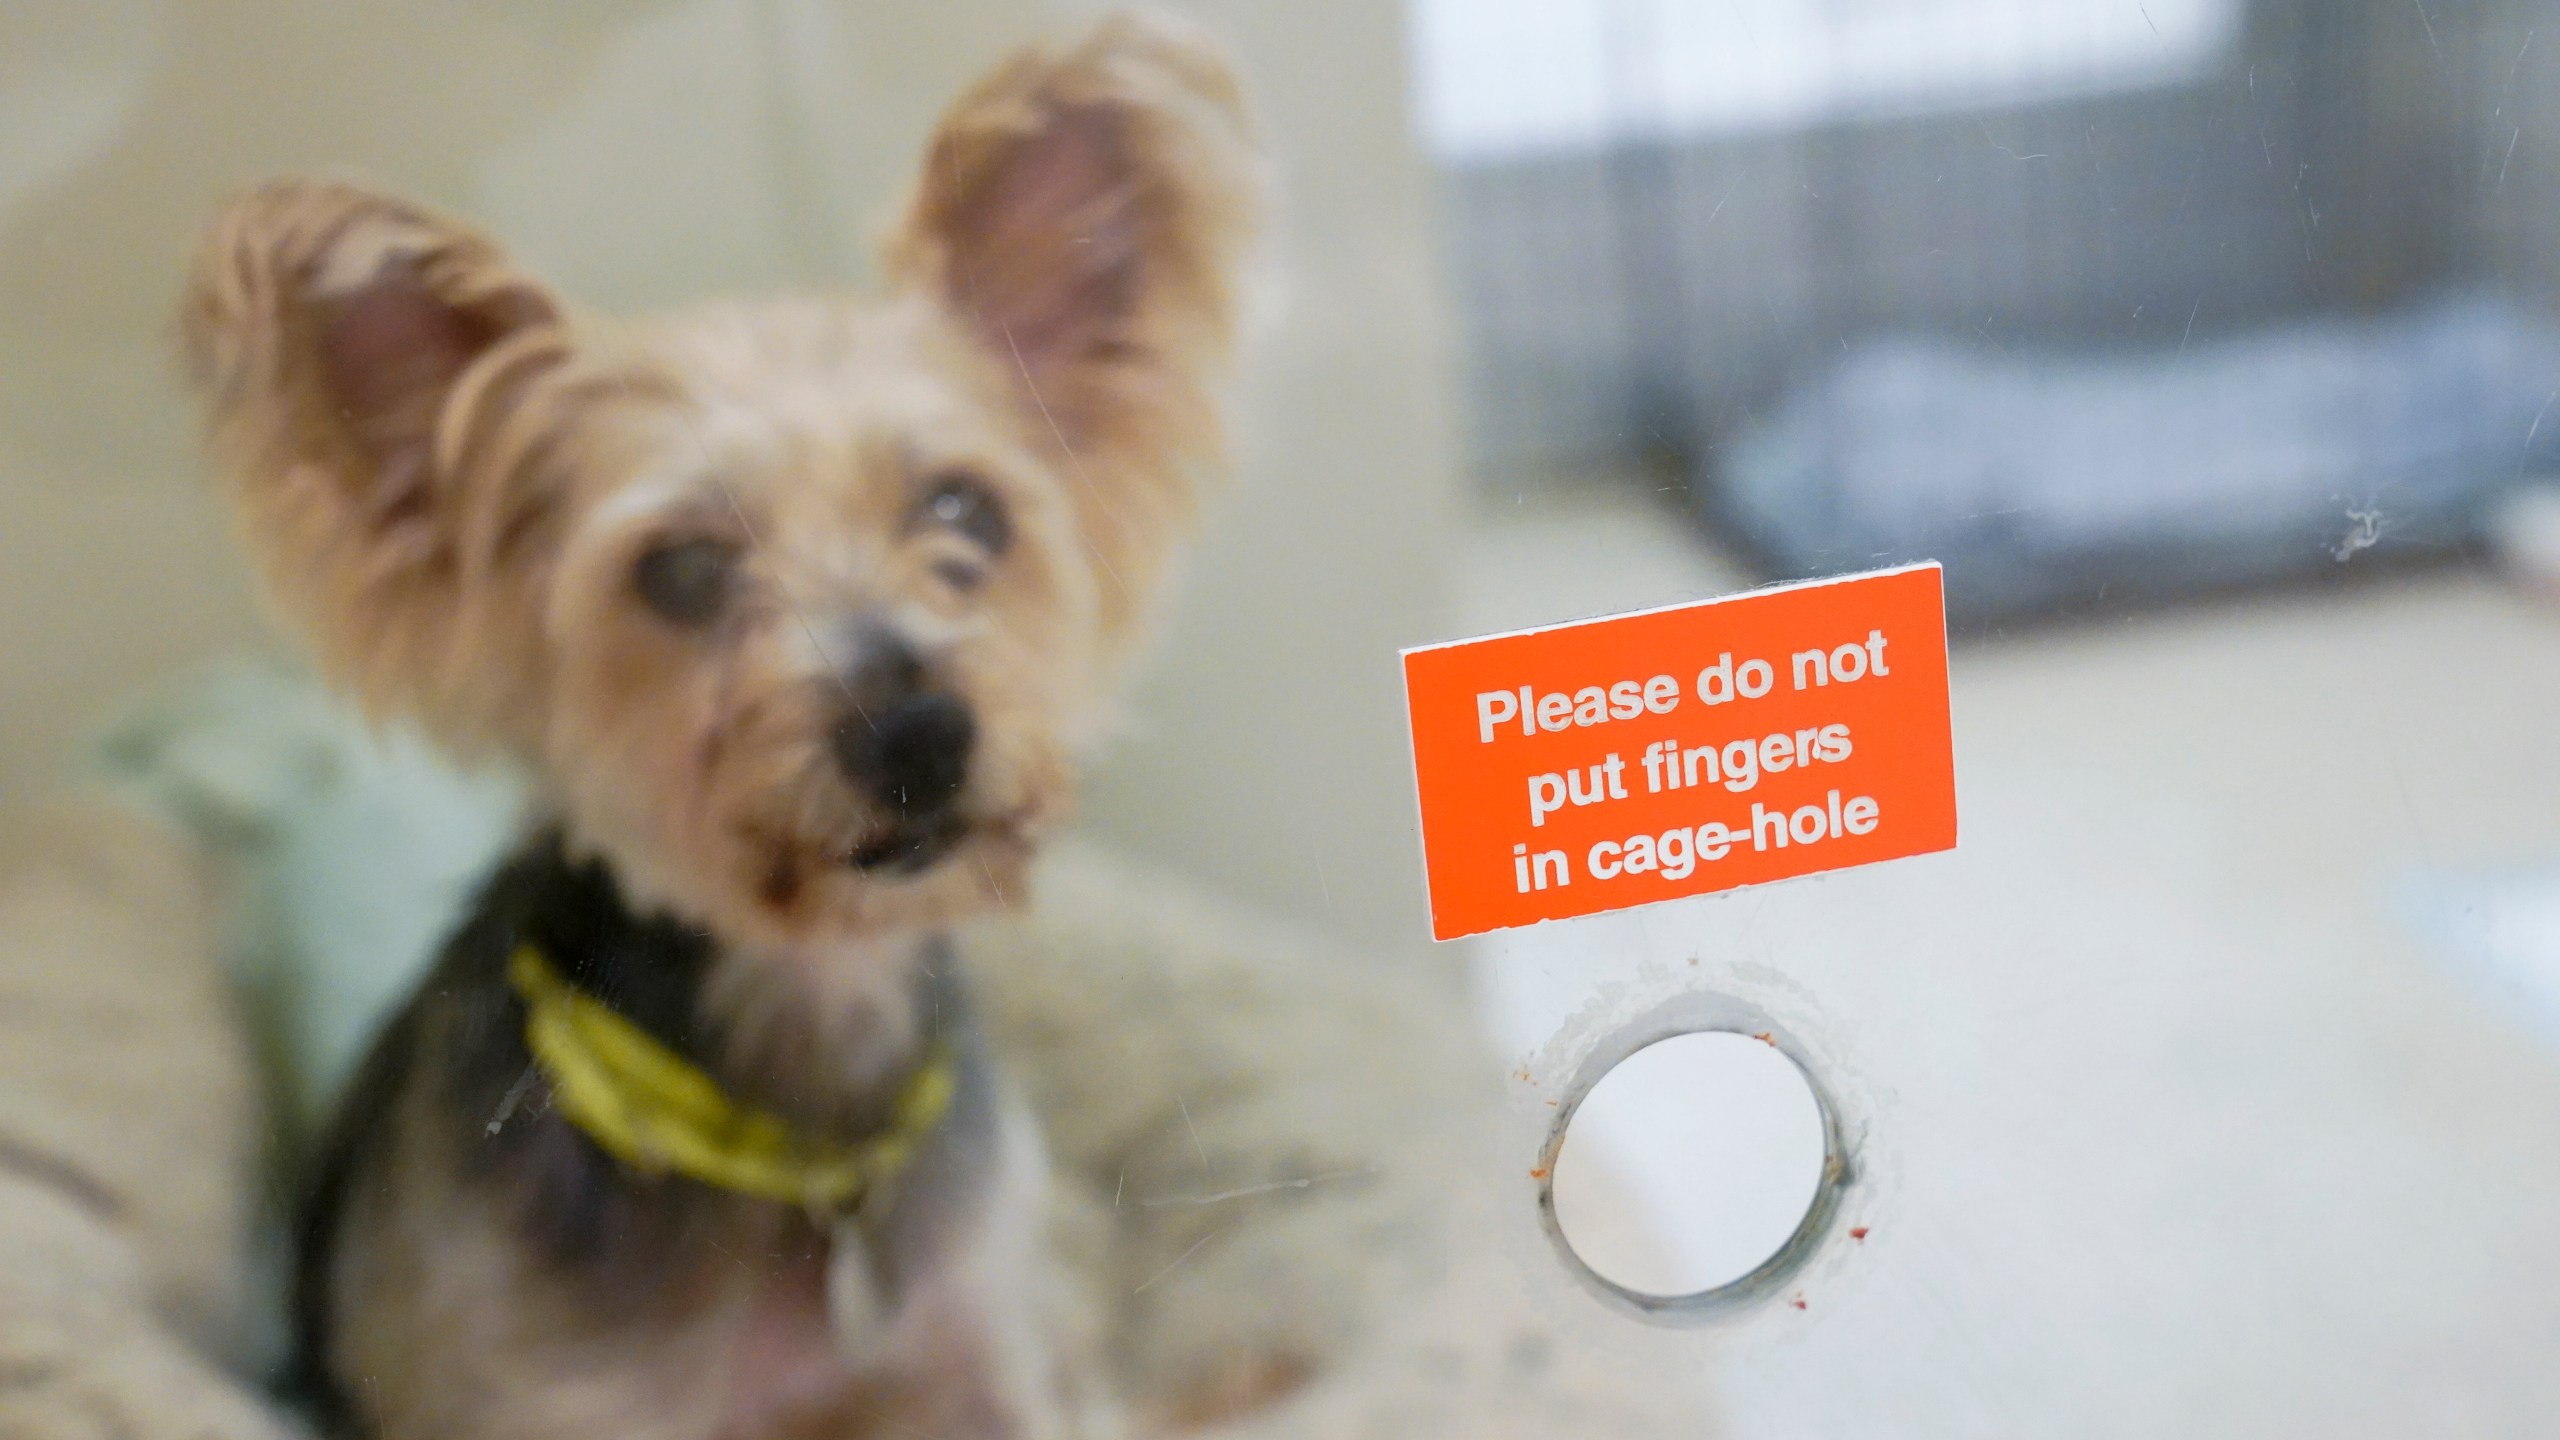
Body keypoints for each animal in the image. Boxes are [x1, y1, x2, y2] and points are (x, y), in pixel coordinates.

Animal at [180, 14, 1259, 1434]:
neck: (793, 1118)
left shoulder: (988, 1350)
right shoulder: (535, 1395)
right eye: (681, 571)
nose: (917, 731)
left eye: (964, 513)